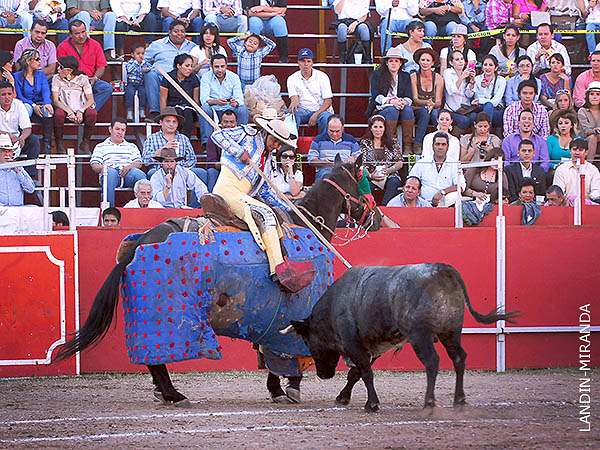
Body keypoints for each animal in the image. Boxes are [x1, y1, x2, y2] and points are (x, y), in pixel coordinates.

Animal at [54, 155, 383, 405]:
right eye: (363, 182)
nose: (378, 217)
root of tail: (143, 240)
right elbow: (286, 352)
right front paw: (291, 388)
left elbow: (266, 350)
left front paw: (277, 389)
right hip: (164, 316)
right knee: (156, 356)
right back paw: (173, 394)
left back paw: (164, 392)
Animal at [281, 264, 519, 412]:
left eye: (308, 341)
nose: (323, 375)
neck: (333, 306)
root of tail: (441, 269)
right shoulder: (372, 347)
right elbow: (356, 374)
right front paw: (343, 397)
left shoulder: (354, 344)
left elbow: (365, 373)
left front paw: (372, 404)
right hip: (451, 332)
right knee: (459, 358)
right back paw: (459, 400)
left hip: (421, 336)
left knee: (432, 362)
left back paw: (429, 402)